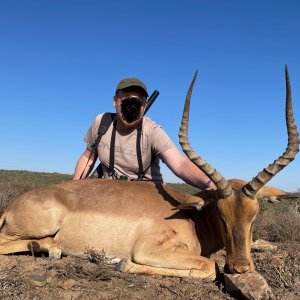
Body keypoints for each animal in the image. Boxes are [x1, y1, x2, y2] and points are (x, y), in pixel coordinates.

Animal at [0, 67, 298, 280]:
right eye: (219, 213)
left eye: (254, 215)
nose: (240, 267)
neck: (193, 219)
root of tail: (12, 206)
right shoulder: (148, 250)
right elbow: (209, 267)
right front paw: (122, 264)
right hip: (39, 227)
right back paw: (52, 248)